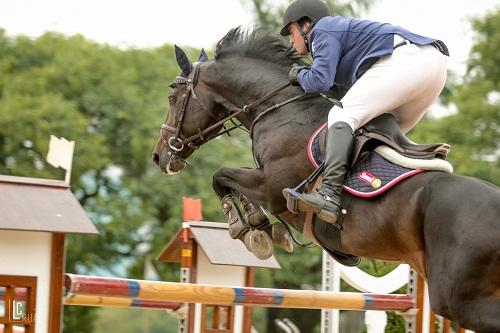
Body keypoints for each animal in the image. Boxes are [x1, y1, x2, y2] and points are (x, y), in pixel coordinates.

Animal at [151, 29, 500, 332]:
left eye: (173, 96)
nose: (159, 156)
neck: (279, 109)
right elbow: (226, 179)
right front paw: (264, 230)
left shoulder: (271, 188)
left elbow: (221, 176)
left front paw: (249, 228)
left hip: (456, 299)